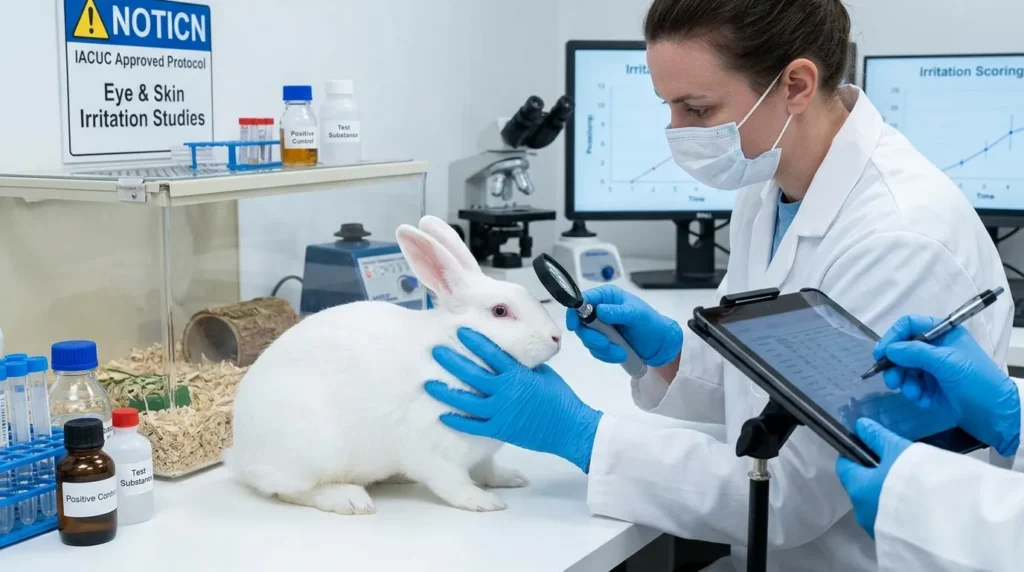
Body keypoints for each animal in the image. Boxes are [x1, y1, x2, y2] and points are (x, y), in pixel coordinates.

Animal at [223, 215, 563, 515]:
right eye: (500, 311)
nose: (557, 337)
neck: (456, 347)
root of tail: (242, 458)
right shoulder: (434, 449)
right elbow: (453, 483)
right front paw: (484, 502)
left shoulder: (482, 448)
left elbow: (488, 470)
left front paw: (512, 478)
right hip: (312, 451)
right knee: (291, 491)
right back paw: (350, 500)